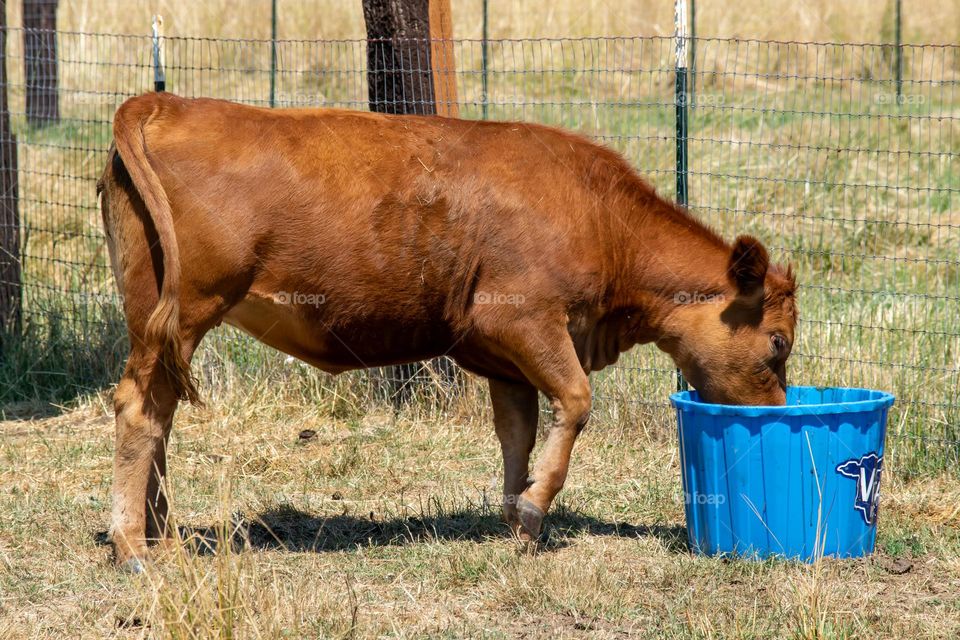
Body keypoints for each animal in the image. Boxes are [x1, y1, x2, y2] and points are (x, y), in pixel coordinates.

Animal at [97, 94, 796, 568]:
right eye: (778, 345)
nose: (779, 408)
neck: (600, 216)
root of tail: (165, 102)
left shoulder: (504, 358)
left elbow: (518, 434)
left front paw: (518, 517)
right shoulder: (523, 319)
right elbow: (575, 402)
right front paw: (537, 505)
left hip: (154, 315)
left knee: (158, 414)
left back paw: (163, 534)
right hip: (187, 310)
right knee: (139, 408)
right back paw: (133, 545)